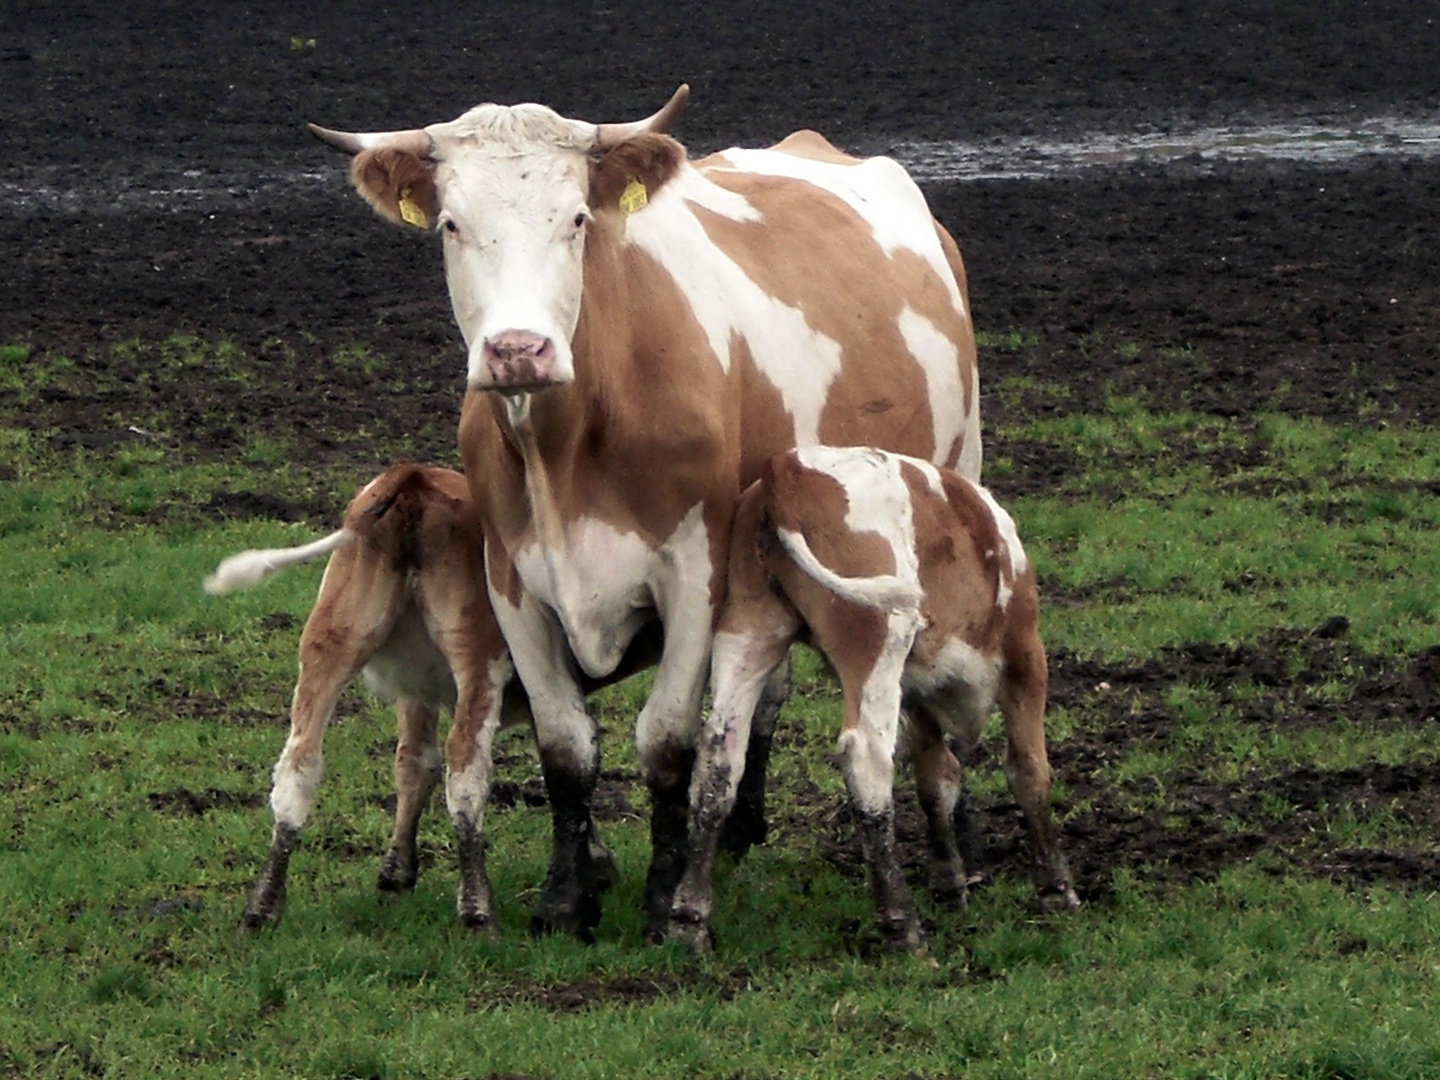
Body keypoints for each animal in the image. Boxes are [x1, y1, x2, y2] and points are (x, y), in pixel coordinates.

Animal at [207, 463, 607, 933]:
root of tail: (414, 478)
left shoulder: (417, 688)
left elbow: (415, 762)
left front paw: (396, 872)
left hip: (331, 640)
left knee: (299, 765)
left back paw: (262, 906)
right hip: (479, 655)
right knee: (466, 766)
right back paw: (477, 910)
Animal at [309, 88, 984, 944]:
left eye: (576, 219)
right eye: (452, 224)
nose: (518, 350)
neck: (570, 442)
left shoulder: (695, 574)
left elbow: (666, 742)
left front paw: (667, 896)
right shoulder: (512, 582)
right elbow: (566, 748)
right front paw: (567, 898)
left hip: (958, 471)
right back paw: (741, 826)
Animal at [668, 446, 1077, 956]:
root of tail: (790, 468)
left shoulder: (920, 692)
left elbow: (936, 780)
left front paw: (950, 881)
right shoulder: (1025, 657)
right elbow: (1028, 770)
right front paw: (1056, 889)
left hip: (749, 631)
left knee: (719, 757)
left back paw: (689, 917)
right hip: (876, 641)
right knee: (866, 758)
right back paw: (901, 924)